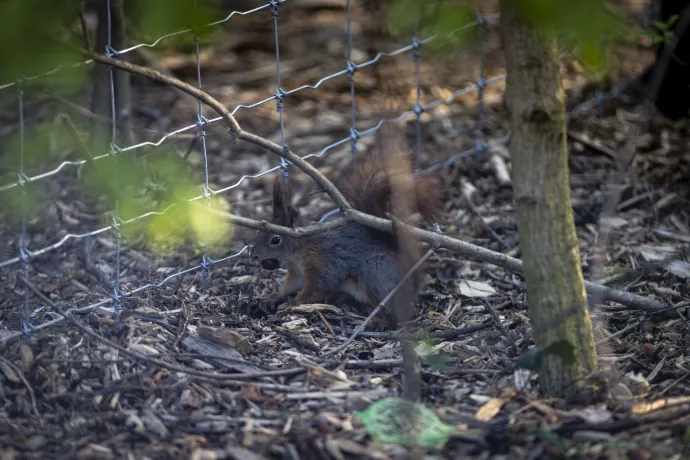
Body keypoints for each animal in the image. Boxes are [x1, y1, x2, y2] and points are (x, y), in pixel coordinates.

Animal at [249, 124, 440, 314]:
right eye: (258, 233)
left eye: (275, 239)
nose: (253, 256)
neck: (299, 250)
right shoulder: (297, 272)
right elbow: (291, 285)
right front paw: (275, 295)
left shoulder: (322, 265)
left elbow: (316, 289)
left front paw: (293, 303)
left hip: (375, 272)